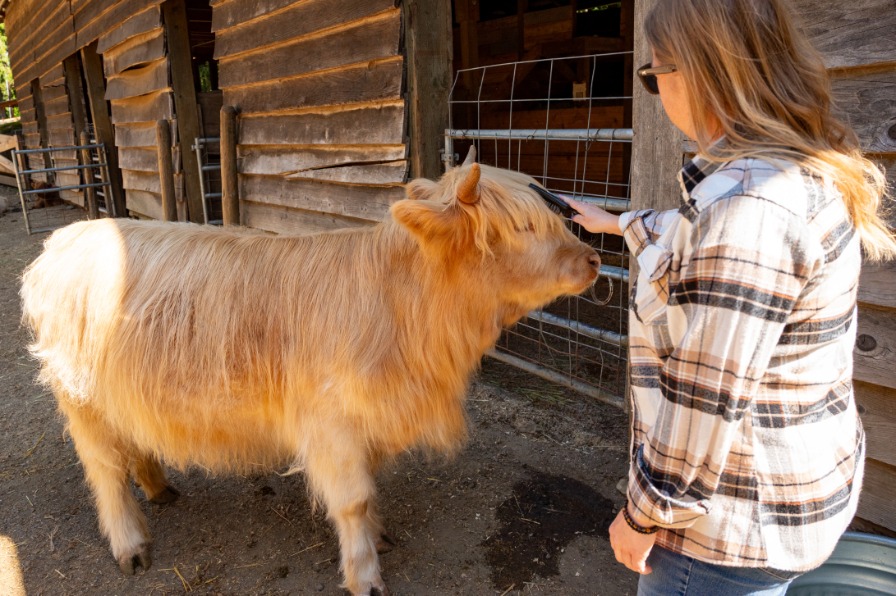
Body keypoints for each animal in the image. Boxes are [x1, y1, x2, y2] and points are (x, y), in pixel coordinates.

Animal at [20, 149, 601, 595]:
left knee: (133, 440)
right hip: (82, 398)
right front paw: (365, 573)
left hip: (124, 391)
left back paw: (159, 486)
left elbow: (370, 493)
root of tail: (66, 238)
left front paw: (379, 535)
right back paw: (131, 544)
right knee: (104, 469)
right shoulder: (331, 425)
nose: (594, 259)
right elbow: (354, 499)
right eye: (522, 226)